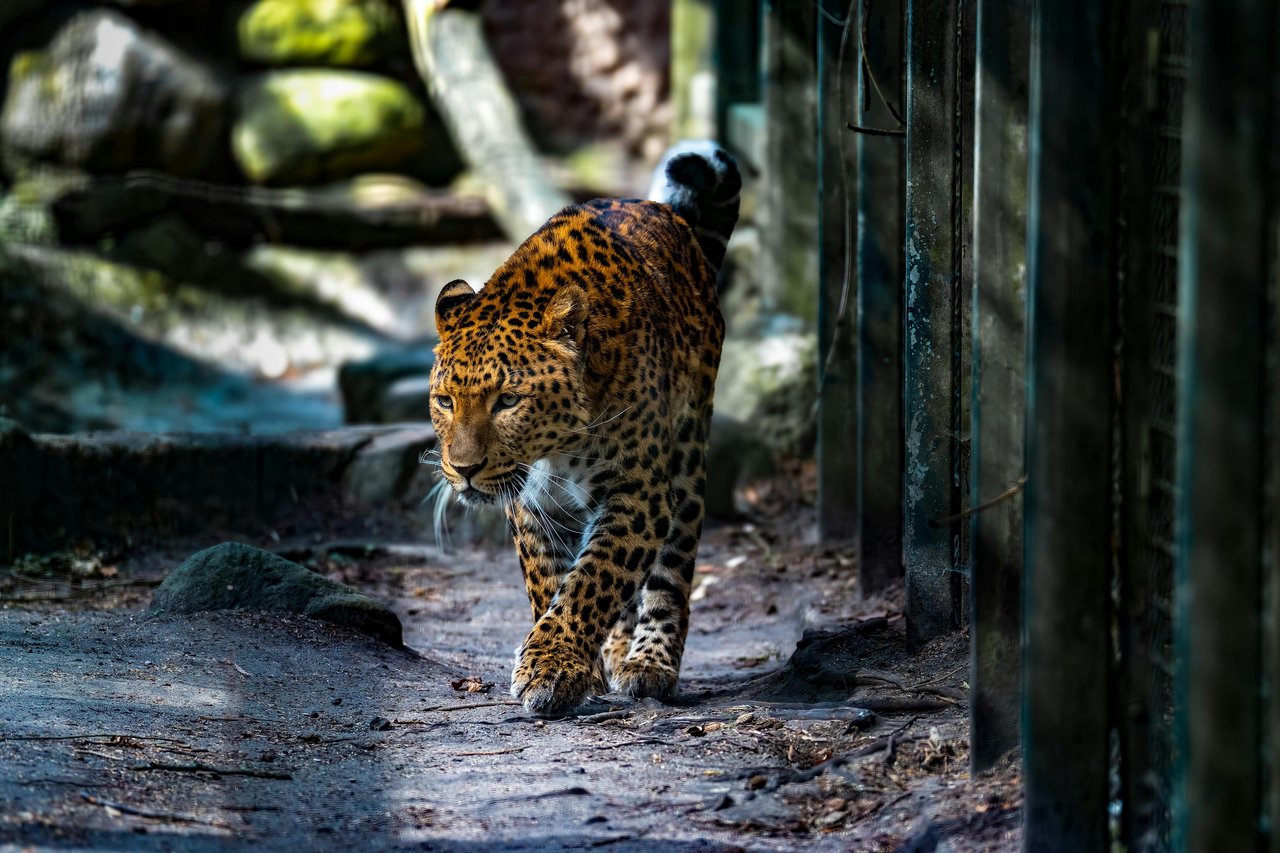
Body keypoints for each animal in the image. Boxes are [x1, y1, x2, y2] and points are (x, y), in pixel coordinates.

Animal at [427, 143, 741, 717]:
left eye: (508, 401)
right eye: (445, 401)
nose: (463, 470)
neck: (559, 448)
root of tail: (665, 214)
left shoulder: (637, 492)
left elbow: (594, 579)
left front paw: (551, 667)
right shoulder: (530, 503)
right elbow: (551, 580)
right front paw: (572, 664)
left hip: (686, 460)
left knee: (670, 568)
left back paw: (649, 662)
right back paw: (614, 651)